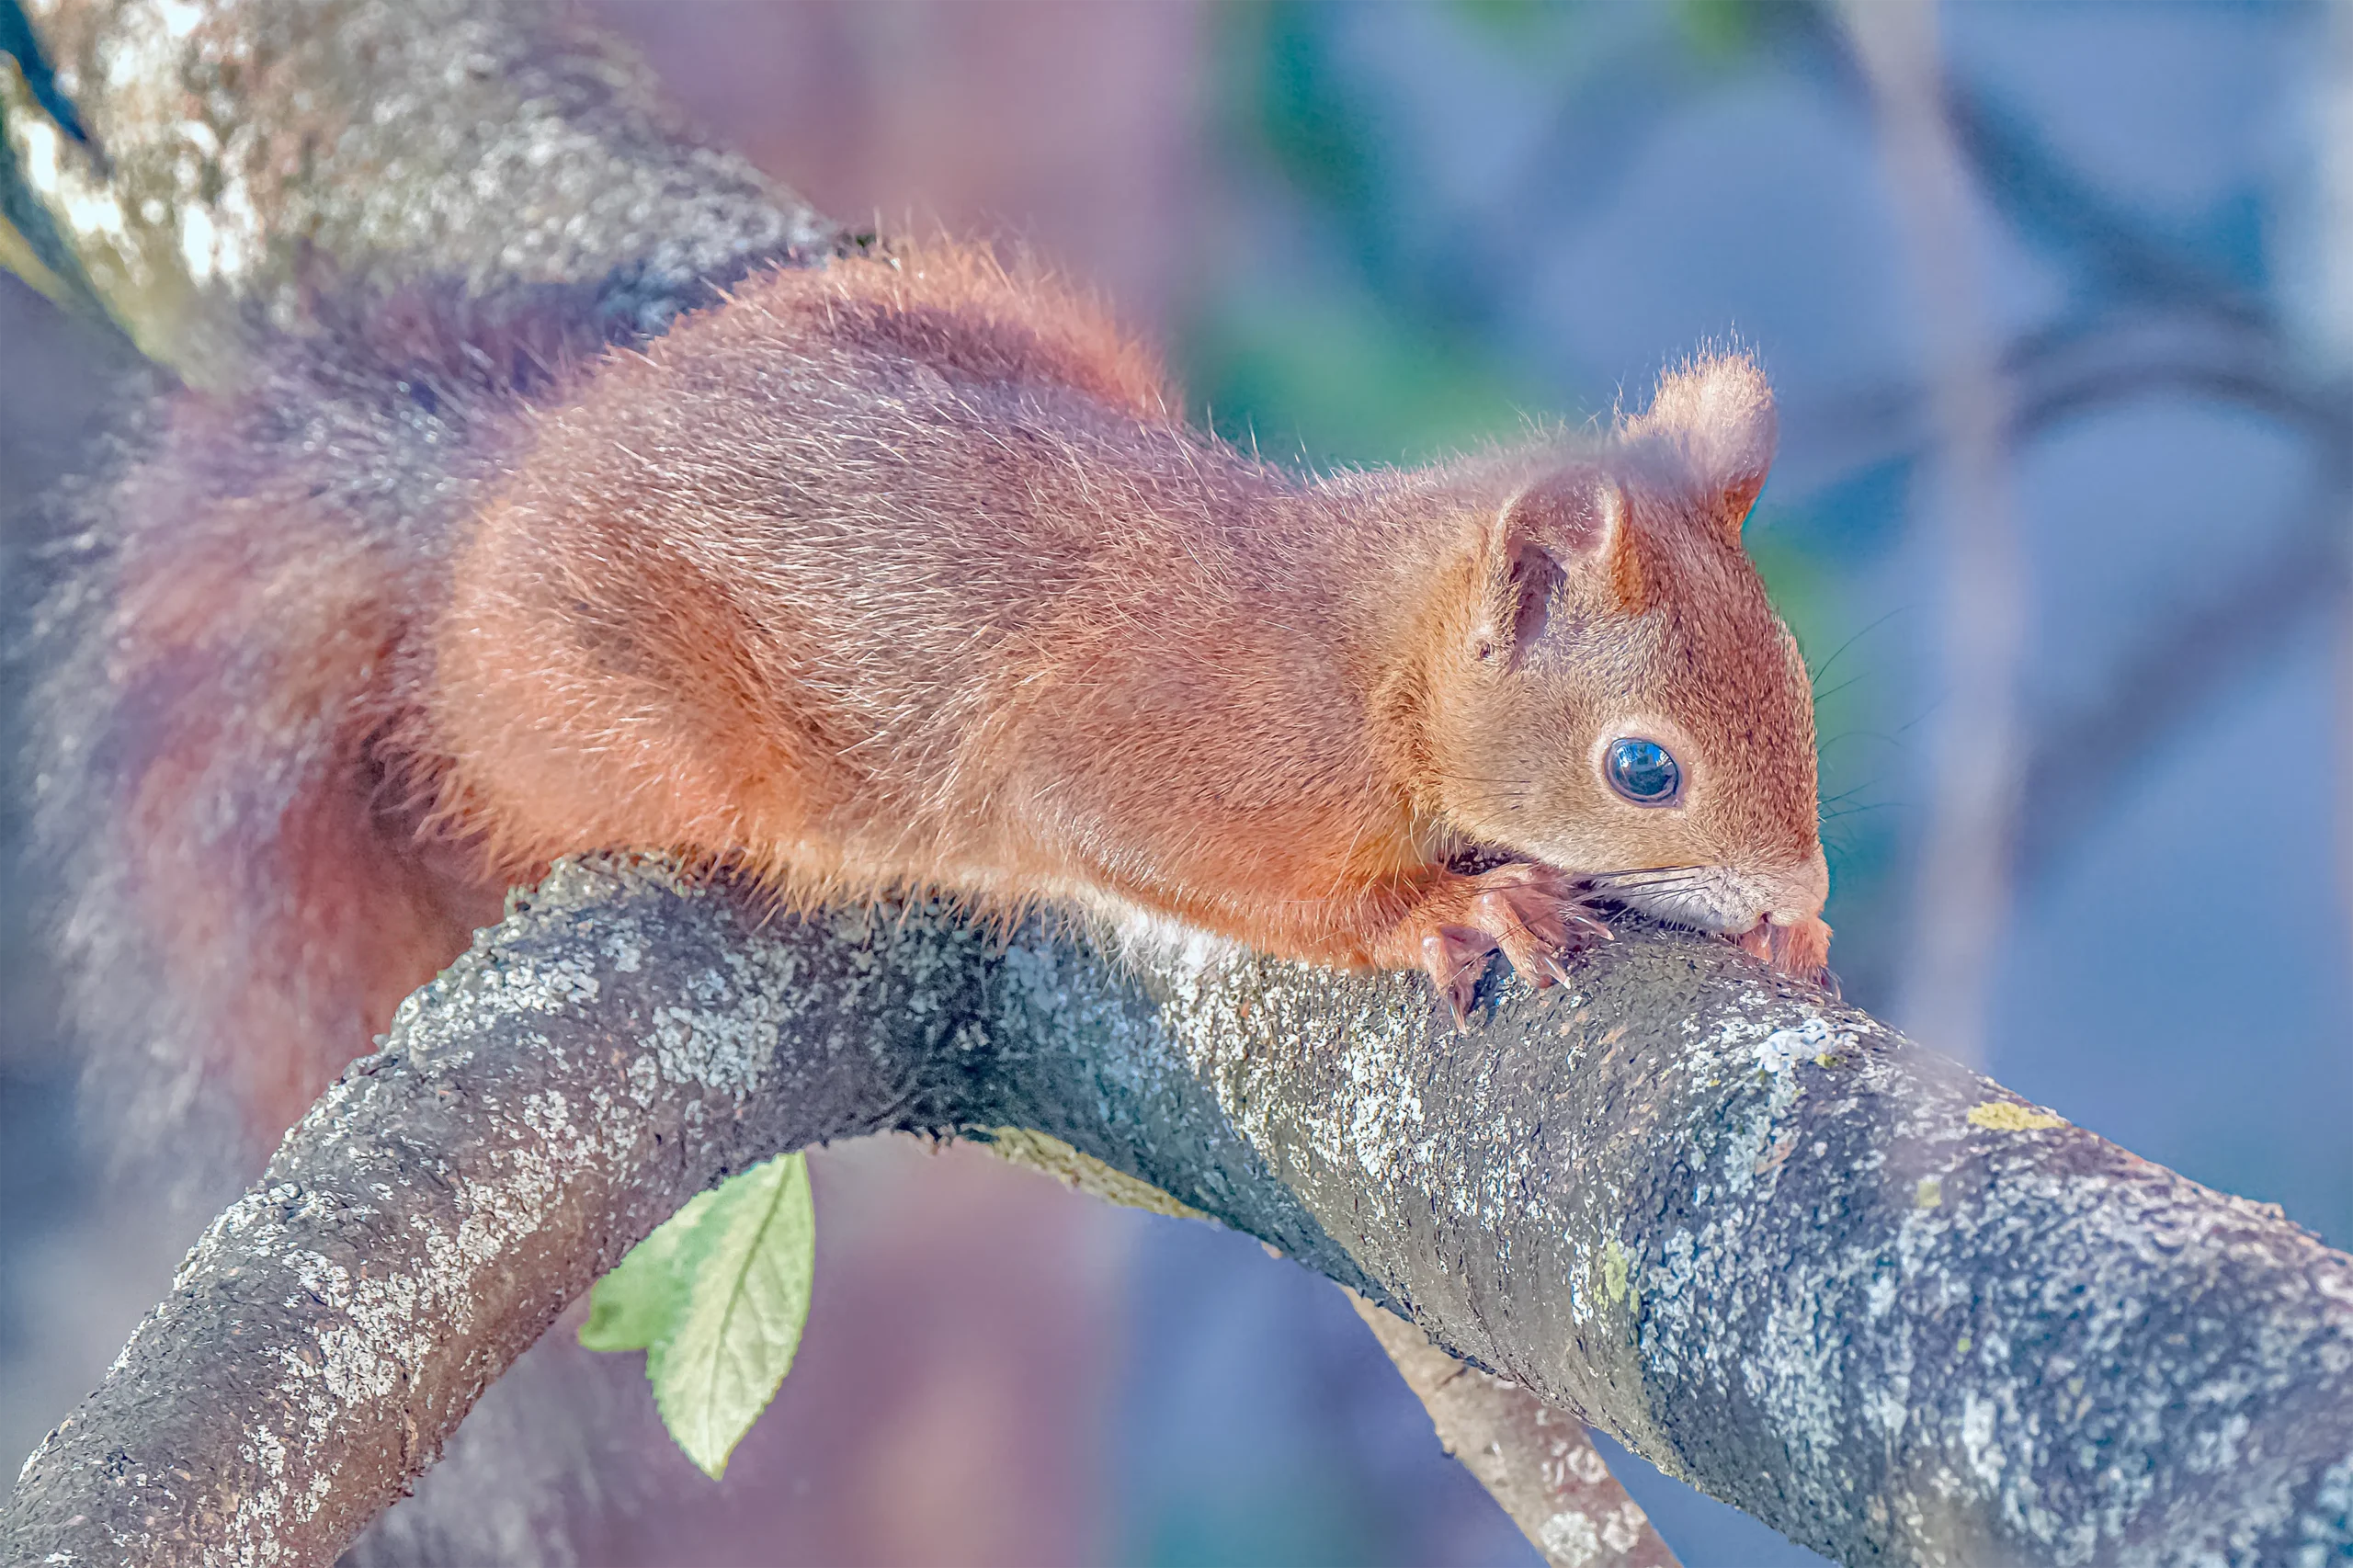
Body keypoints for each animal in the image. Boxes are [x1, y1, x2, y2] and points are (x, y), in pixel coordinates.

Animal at [30, 244, 1829, 1142]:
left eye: (1803, 689)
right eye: (1645, 768)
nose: (1799, 887)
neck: (1359, 653)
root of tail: (488, 512)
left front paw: (1787, 940)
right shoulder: (1159, 741)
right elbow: (1177, 851)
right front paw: (1448, 909)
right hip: (638, 725)